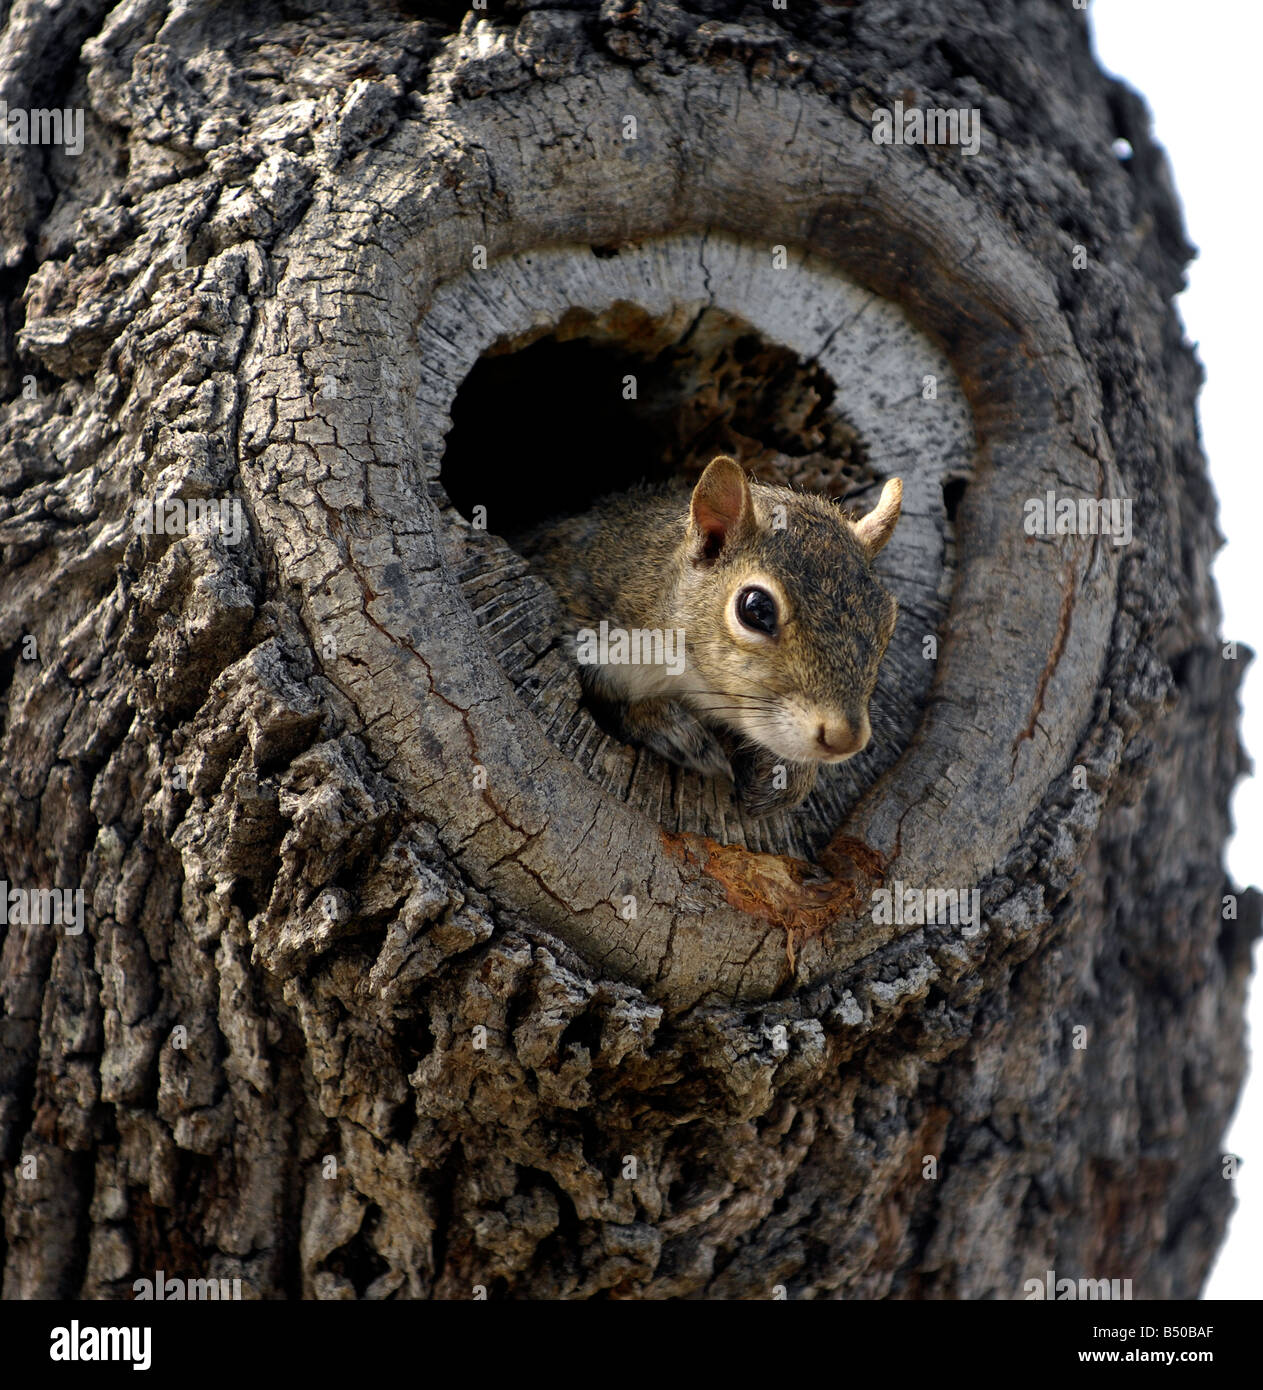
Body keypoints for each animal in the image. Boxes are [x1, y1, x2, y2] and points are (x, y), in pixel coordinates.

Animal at [516, 461, 900, 811]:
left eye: (888, 620)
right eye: (756, 609)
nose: (845, 739)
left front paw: (791, 774)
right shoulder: (587, 626)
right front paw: (672, 729)